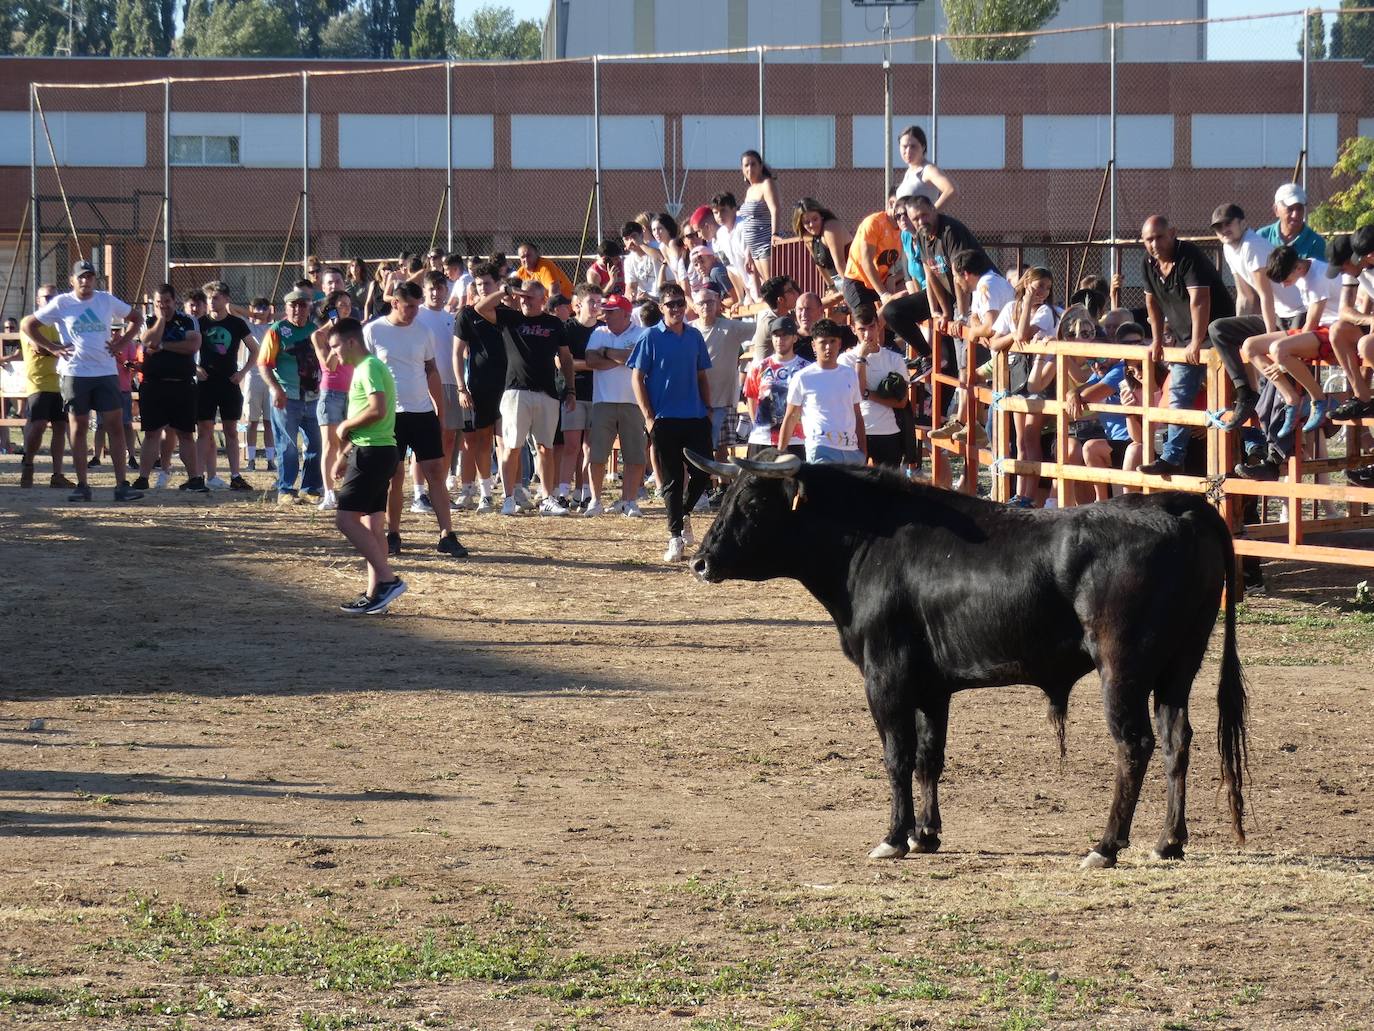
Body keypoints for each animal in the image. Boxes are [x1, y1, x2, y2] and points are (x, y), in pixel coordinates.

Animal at [687, 456, 1247, 868]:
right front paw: (926, 835)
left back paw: (1105, 846)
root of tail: (1180, 506)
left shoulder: (884, 676)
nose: (699, 561)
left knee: (1135, 744)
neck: (870, 540)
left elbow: (896, 756)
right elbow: (928, 756)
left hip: (1122, 668)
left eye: (753, 502)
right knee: (1176, 740)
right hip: (1179, 666)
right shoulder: (932, 688)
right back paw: (1168, 842)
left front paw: (894, 837)